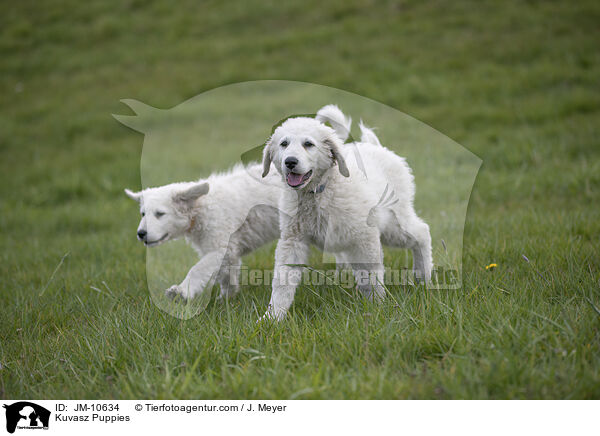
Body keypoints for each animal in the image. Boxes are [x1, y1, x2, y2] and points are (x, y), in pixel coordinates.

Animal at [125, 164, 284, 300]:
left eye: (160, 214)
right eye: (143, 214)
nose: (141, 233)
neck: (200, 207)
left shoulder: (220, 247)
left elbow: (198, 269)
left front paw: (181, 292)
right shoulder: (228, 251)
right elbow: (227, 275)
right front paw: (227, 299)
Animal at [262, 105, 432, 320]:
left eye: (308, 144)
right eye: (284, 144)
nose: (290, 162)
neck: (319, 191)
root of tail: (376, 146)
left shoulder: (365, 236)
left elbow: (370, 275)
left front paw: (376, 307)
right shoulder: (292, 240)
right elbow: (282, 282)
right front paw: (272, 317)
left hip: (393, 223)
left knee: (422, 232)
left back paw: (424, 277)